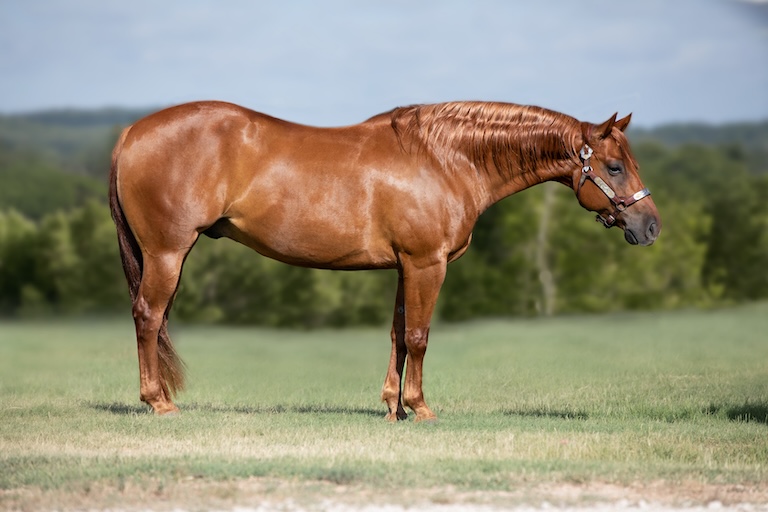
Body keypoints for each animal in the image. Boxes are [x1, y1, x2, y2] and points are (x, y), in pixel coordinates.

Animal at [109, 100, 660, 421]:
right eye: (614, 166)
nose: (650, 226)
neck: (443, 159)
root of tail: (132, 131)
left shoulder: (404, 266)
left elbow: (397, 333)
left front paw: (393, 408)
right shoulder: (426, 264)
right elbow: (418, 336)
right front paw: (419, 408)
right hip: (167, 253)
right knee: (148, 316)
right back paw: (158, 402)